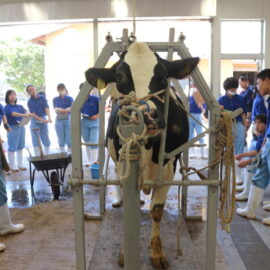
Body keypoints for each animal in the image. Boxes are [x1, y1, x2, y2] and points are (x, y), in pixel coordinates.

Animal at [85, 42, 199, 268]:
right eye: (119, 77)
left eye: (162, 76)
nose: (147, 115)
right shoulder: (123, 163)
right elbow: (128, 212)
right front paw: (124, 252)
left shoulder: (168, 169)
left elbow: (157, 210)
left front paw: (156, 252)